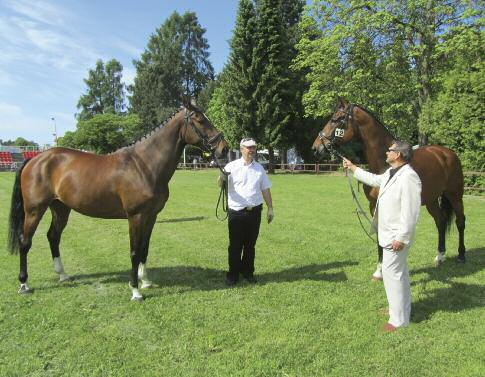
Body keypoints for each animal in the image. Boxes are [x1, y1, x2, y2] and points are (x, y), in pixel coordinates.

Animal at [7, 103, 227, 300]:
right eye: (199, 119)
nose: (224, 148)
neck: (145, 165)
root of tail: (34, 159)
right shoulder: (136, 216)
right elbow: (134, 251)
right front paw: (135, 290)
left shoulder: (151, 216)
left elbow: (144, 249)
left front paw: (145, 281)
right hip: (35, 210)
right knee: (25, 242)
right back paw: (24, 284)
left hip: (60, 208)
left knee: (53, 237)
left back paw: (63, 275)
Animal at [310, 98, 466, 280]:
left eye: (336, 119)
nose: (316, 148)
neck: (383, 164)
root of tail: (447, 153)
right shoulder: (373, 206)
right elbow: (379, 236)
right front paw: (379, 270)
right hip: (432, 200)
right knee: (440, 222)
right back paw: (440, 256)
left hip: (455, 195)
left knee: (460, 221)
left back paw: (461, 256)